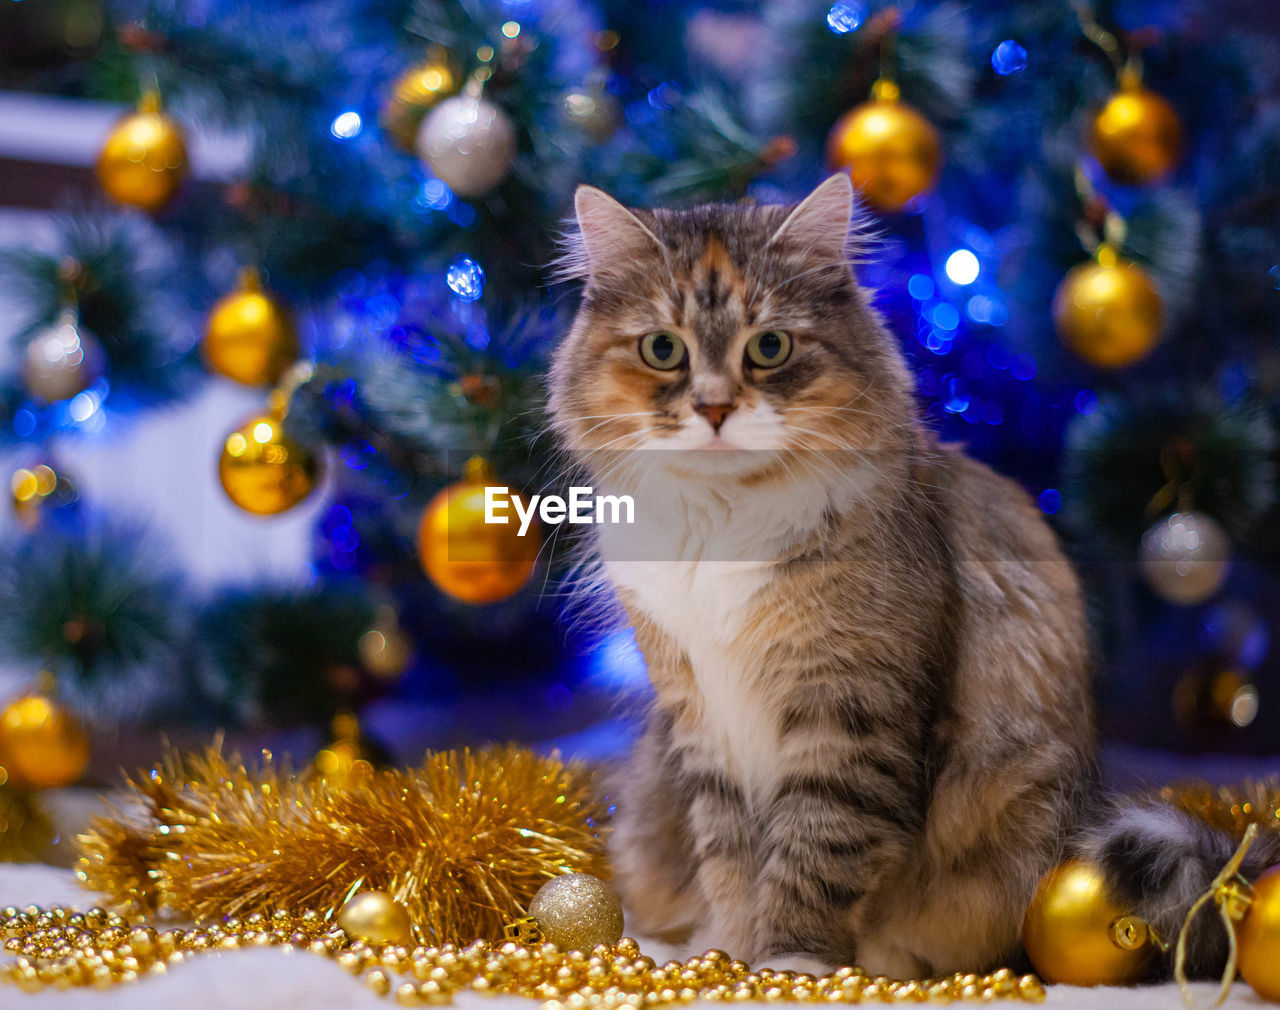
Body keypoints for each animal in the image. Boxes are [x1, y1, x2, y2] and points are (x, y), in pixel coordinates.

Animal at [547, 172, 1280, 977]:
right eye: (662, 349)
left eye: (769, 347)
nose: (713, 408)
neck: (722, 524)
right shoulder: (700, 713)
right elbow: (731, 858)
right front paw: (727, 959)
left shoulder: (850, 706)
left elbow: (815, 849)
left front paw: (787, 967)